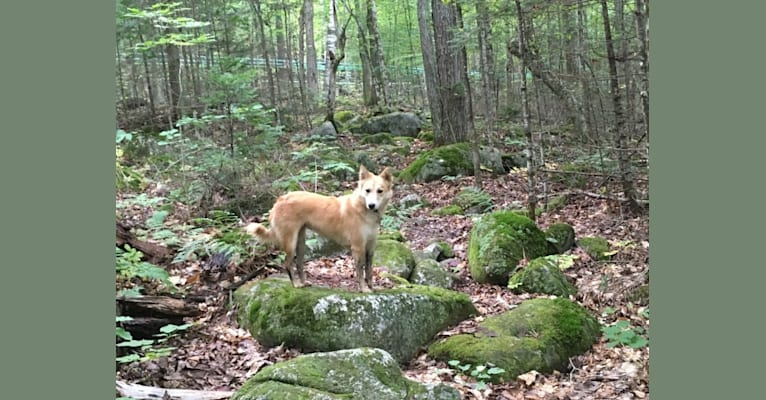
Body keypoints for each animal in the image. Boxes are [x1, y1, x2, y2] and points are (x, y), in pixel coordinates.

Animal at [248, 164, 396, 292]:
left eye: (380, 191)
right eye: (367, 191)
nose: (371, 205)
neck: (364, 211)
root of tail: (280, 199)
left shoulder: (370, 247)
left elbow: (369, 271)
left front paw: (371, 287)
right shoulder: (358, 247)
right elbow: (360, 271)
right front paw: (364, 289)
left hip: (301, 243)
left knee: (299, 264)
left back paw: (304, 282)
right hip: (290, 243)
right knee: (287, 264)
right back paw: (296, 284)